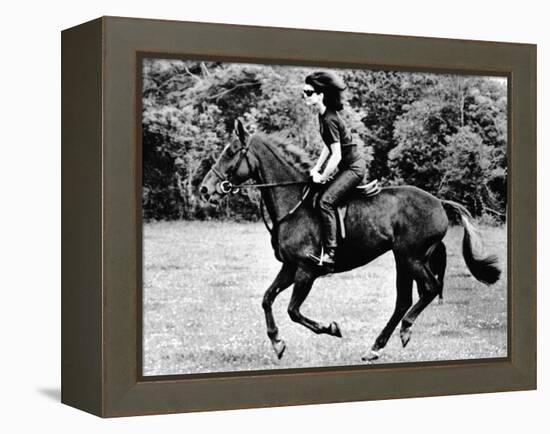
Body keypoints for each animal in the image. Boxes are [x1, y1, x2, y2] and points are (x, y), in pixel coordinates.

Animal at [201, 120, 502, 362]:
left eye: (231, 152)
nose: (205, 189)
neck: (293, 205)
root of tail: (439, 202)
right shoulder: (289, 267)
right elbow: (267, 299)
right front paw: (277, 342)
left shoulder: (306, 270)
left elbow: (293, 310)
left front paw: (331, 329)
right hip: (403, 259)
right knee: (404, 299)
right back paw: (376, 347)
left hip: (411, 257)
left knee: (429, 288)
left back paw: (404, 329)